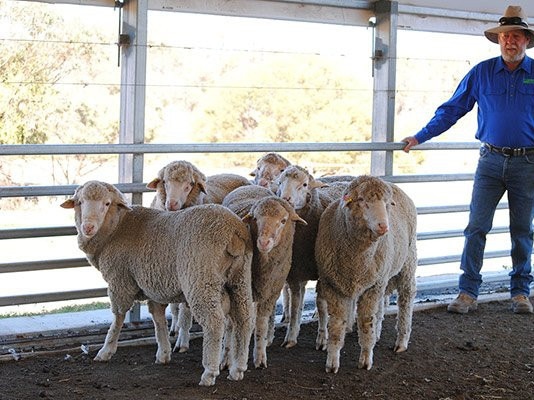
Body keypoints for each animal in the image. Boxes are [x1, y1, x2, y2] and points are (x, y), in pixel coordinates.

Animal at [61, 180, 255, 384]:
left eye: (107, 204)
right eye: (80, 202)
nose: (88, 227)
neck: (117, 227)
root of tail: (233, 230)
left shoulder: (119, 281)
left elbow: (118, 317)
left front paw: (106, 351)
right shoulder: (153, 284)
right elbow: (158, 318)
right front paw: (163, 353)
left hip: (201, 278)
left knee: (215, 322)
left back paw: (209, 372)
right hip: (240, 278)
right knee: (244, 319)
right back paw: (237, 369)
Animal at [222, 184, 308, 368]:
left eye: (283, 220)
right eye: (255, 218)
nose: (263, 242)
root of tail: (249, 185)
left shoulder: (272, 289)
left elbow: (261, 322)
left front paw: (260, 356)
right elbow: (231, 325)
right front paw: (227, 359)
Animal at [314, 175, 418, 372]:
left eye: (387, 203)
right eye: (361, 200)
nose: (384, 226)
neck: (357, 259)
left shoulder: (372, 287)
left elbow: (365, 322)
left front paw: (366, 359)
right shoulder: (333, 285)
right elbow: (336, 325)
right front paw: (332, 362)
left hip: (407, 264)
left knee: (406, 300)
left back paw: (401, 340)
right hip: (383, 275)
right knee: (380, 308)